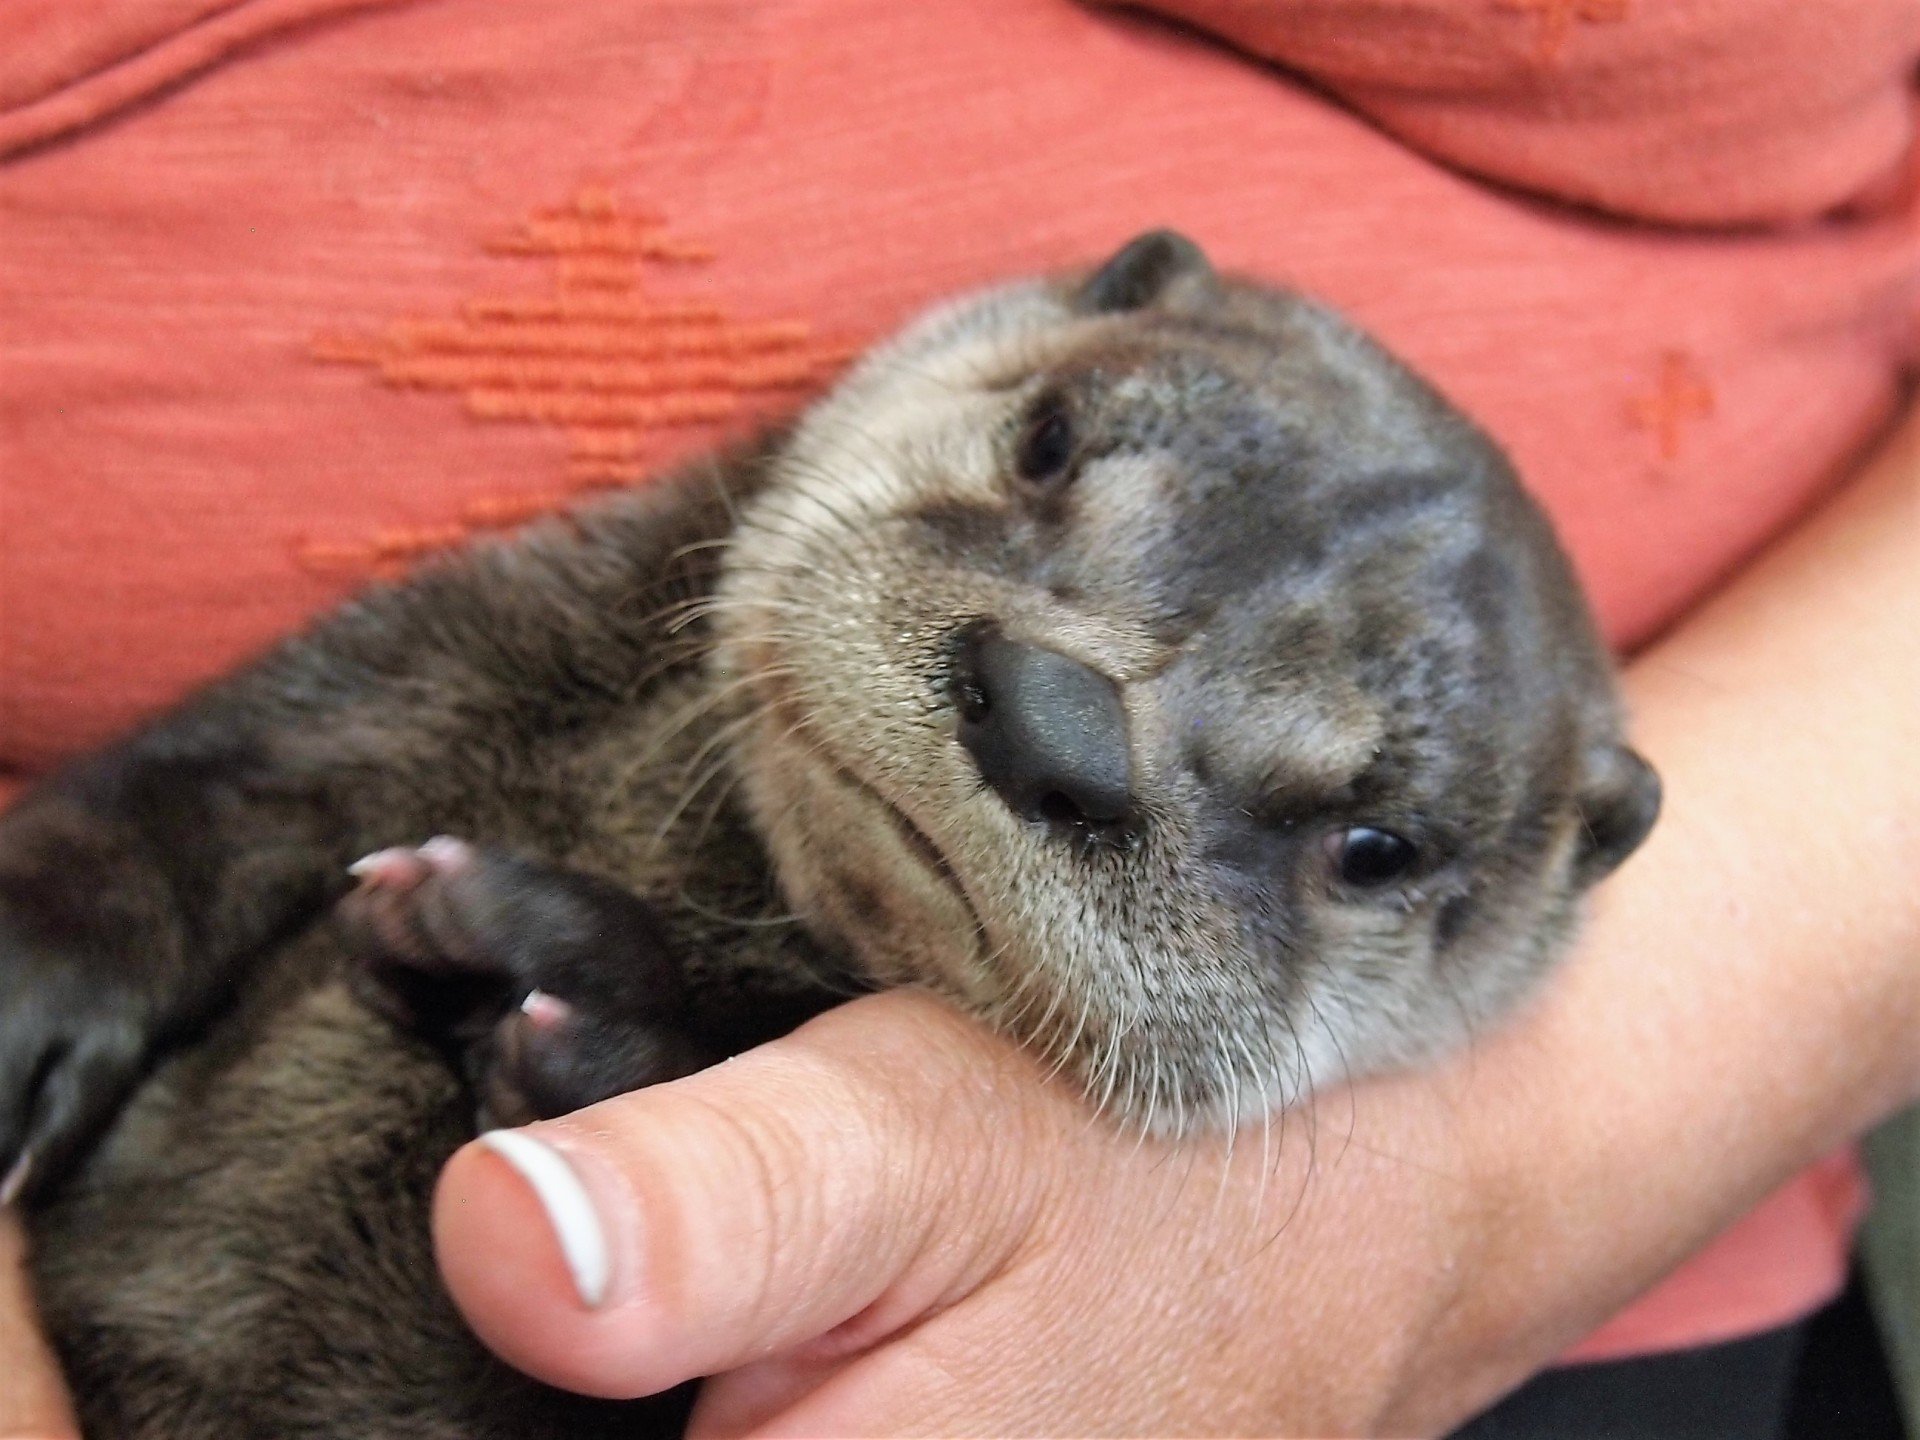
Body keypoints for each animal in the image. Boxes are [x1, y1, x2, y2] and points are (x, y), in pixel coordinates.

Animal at [0, 233, 1657, 1438]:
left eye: (1376, 847)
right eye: (1050, 438)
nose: (1053, 719)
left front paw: (575, 998)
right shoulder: (485, 636)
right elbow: (239, 762)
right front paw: (38, 973)